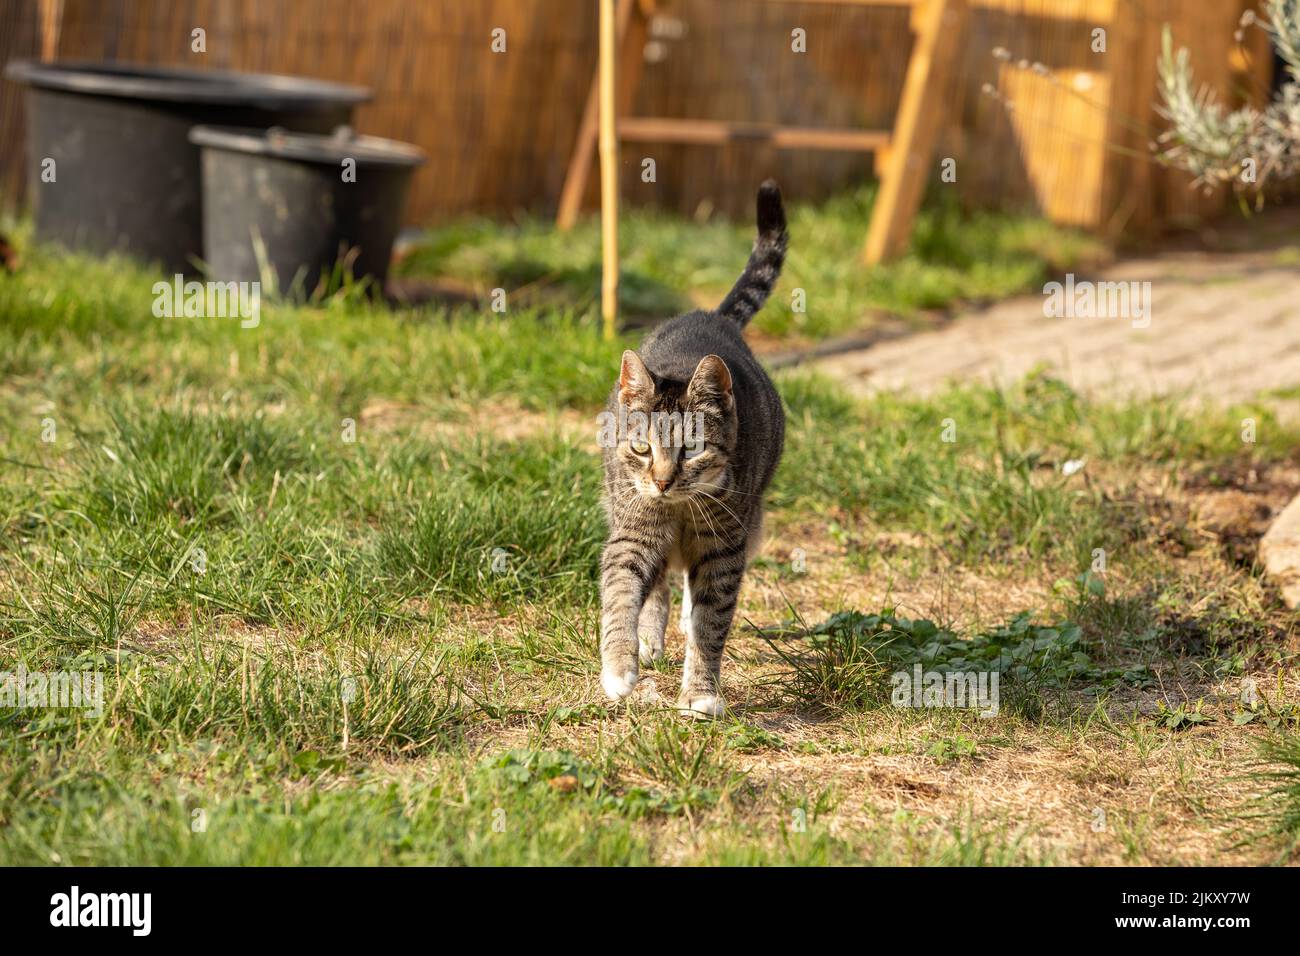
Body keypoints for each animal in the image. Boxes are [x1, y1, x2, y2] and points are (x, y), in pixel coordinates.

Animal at [595, 180, 780, 717]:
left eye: (693, 448)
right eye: (641, 447)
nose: (661, 481)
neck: (677, 509)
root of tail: (711, 317)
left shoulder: (725, 546)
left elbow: (710, 623)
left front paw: (700, 693)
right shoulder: (633, 533)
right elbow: (621, 595)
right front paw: (620, 668)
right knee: (656, 583)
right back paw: (648, 638)